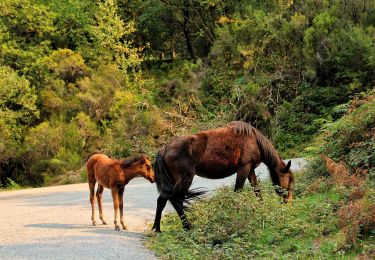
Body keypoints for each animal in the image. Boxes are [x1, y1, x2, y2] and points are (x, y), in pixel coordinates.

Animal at [151, 121, 296, 233]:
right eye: (289, 180)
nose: (289, 201)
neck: (254, 140)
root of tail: (164, 149)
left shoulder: (250, 170)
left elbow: (257, 191)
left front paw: (262, 209)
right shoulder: (243, 169)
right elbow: (238, 192)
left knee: (162, 200)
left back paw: (157, 228)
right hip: (185, 179)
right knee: (176, 200)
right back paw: (187, 226)